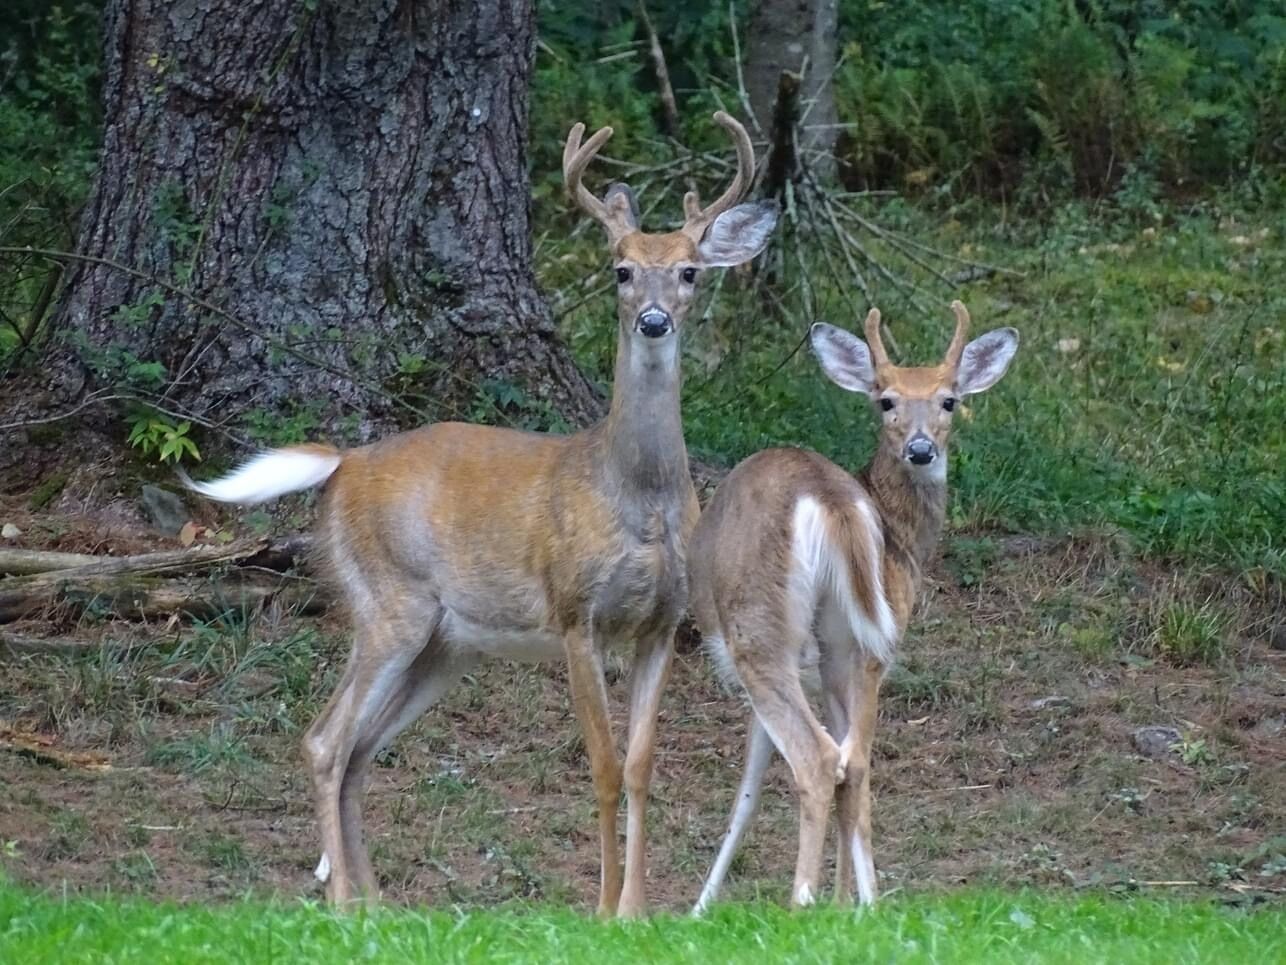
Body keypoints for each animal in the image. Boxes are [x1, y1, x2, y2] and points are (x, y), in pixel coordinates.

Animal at [183, 112, 779, 916]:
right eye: (621, 269)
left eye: (690, 270)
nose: (654, 321)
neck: (638, 497)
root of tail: (344, 462)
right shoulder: (575, 610)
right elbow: (601, 763)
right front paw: (603, 910)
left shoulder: (661, 623)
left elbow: (641, 765)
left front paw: (636, 909)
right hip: (389, 600)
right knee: (325, 740)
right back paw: (344, 903)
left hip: (447, 644)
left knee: (361, 748)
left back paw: (377, 903)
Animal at [688, 302, 1018, 913]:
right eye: (885, 399)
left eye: (949, 399)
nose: (920, 449)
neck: (901, 537)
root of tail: (830, 498)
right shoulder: (866, 653)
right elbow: (849, 765)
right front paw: (852, 901)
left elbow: (748, 789)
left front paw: (700, 908)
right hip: (849, 640)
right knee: (853, 761)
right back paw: (858, 901)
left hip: (760, 631)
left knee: (819, 759)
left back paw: (801, 899)